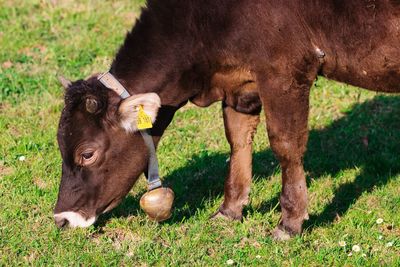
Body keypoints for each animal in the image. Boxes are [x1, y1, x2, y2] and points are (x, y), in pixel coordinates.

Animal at [54, 0, 400, 241]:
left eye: (87, 153)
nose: (61, 218)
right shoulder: (240, 84)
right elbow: (237, 141)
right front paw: (229, 210)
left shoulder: (283, 72)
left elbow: (286, 145)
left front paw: (289, 223)